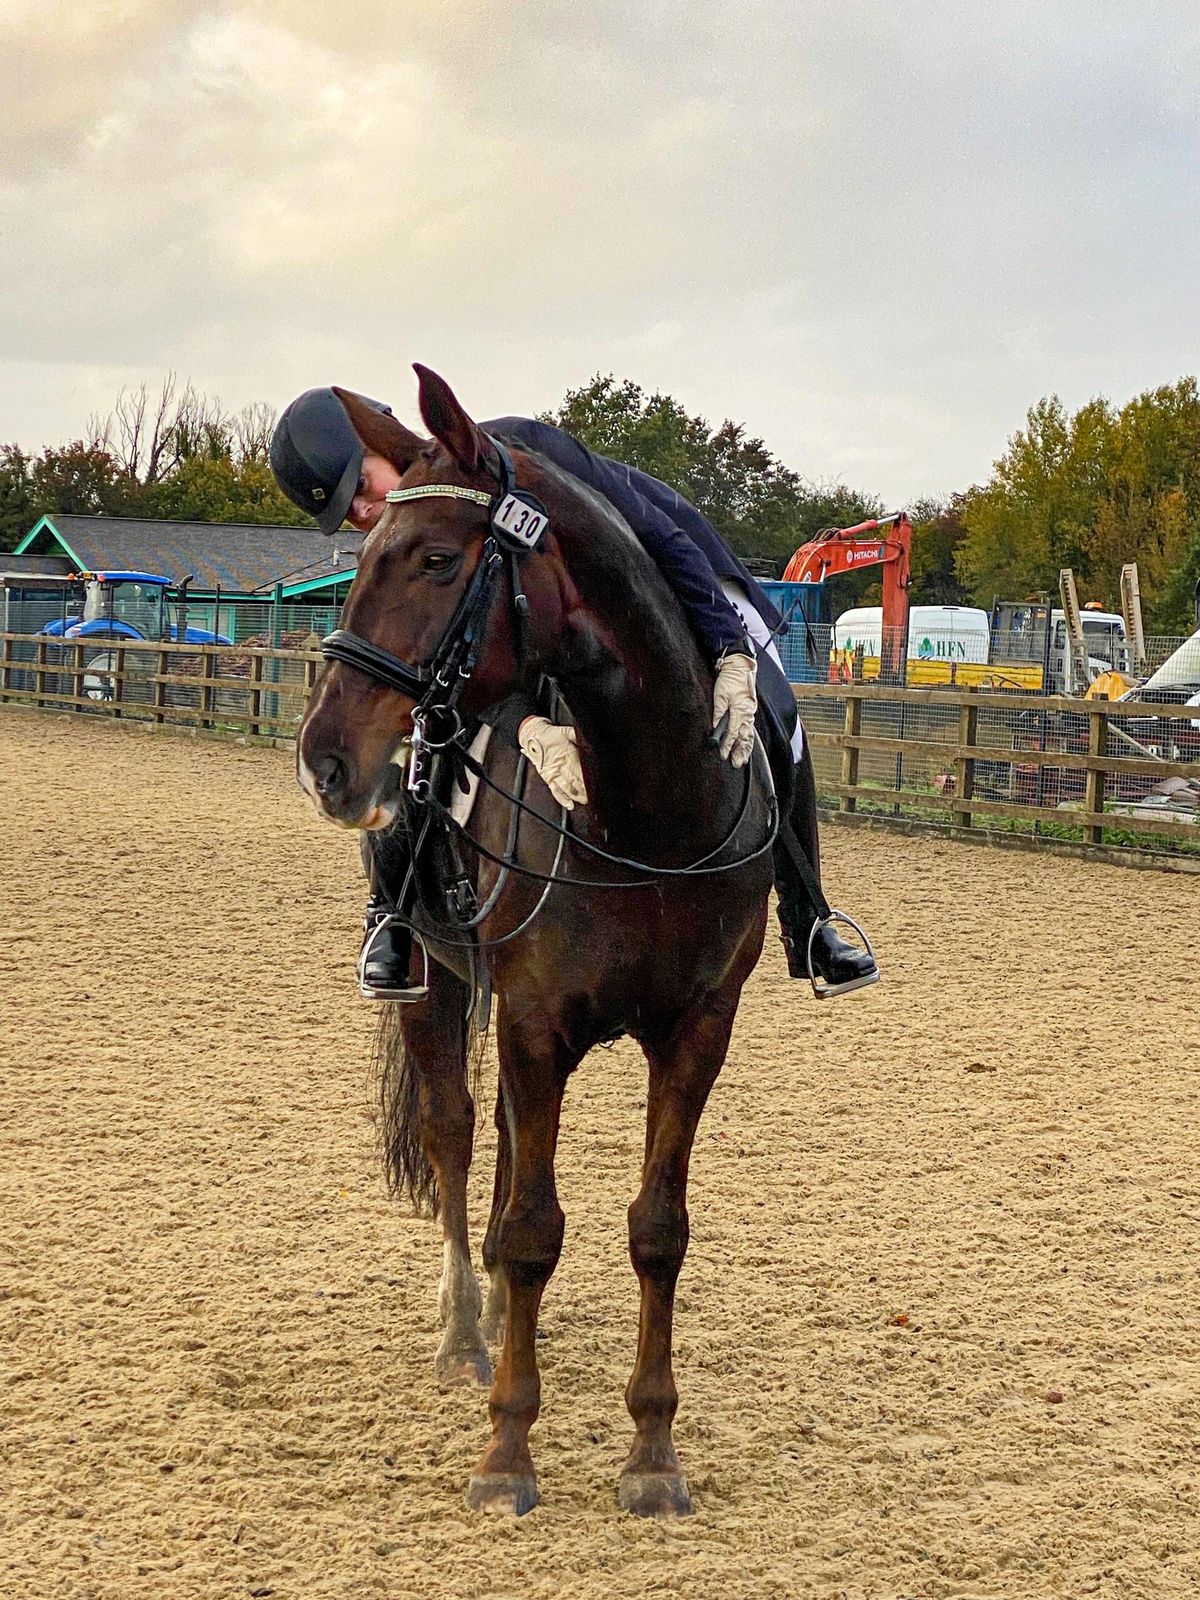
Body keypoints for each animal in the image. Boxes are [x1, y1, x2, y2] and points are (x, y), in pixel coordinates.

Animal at [296, 368, 774, 1516]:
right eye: (362, 554)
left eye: (435, 558)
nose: (325, 759)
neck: (652, 813)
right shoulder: (532, 1021)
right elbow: (527, 1226)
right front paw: (508, 1446)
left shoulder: (698, 1032)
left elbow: (656, 1230)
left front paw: (653, 1453)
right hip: (437, 987)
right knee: (460, 1139)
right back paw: (468, 1336)